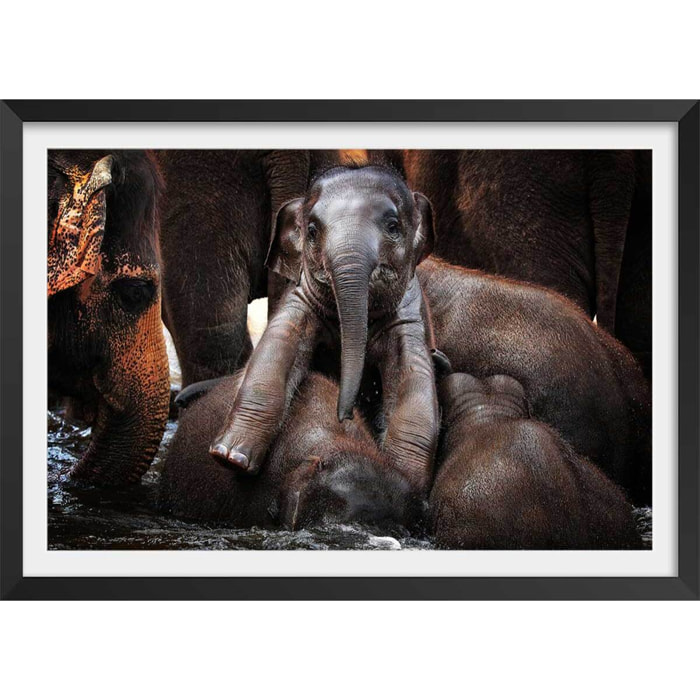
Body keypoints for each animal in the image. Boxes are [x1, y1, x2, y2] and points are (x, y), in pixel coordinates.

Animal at [208, 165, 440, 499]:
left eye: (393, 226)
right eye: (313, 231)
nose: (345, 415)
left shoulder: (409, 317)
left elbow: (414, 383)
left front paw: (404, 480)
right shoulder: (300, 299)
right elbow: (277, 348)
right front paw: (230, 458)